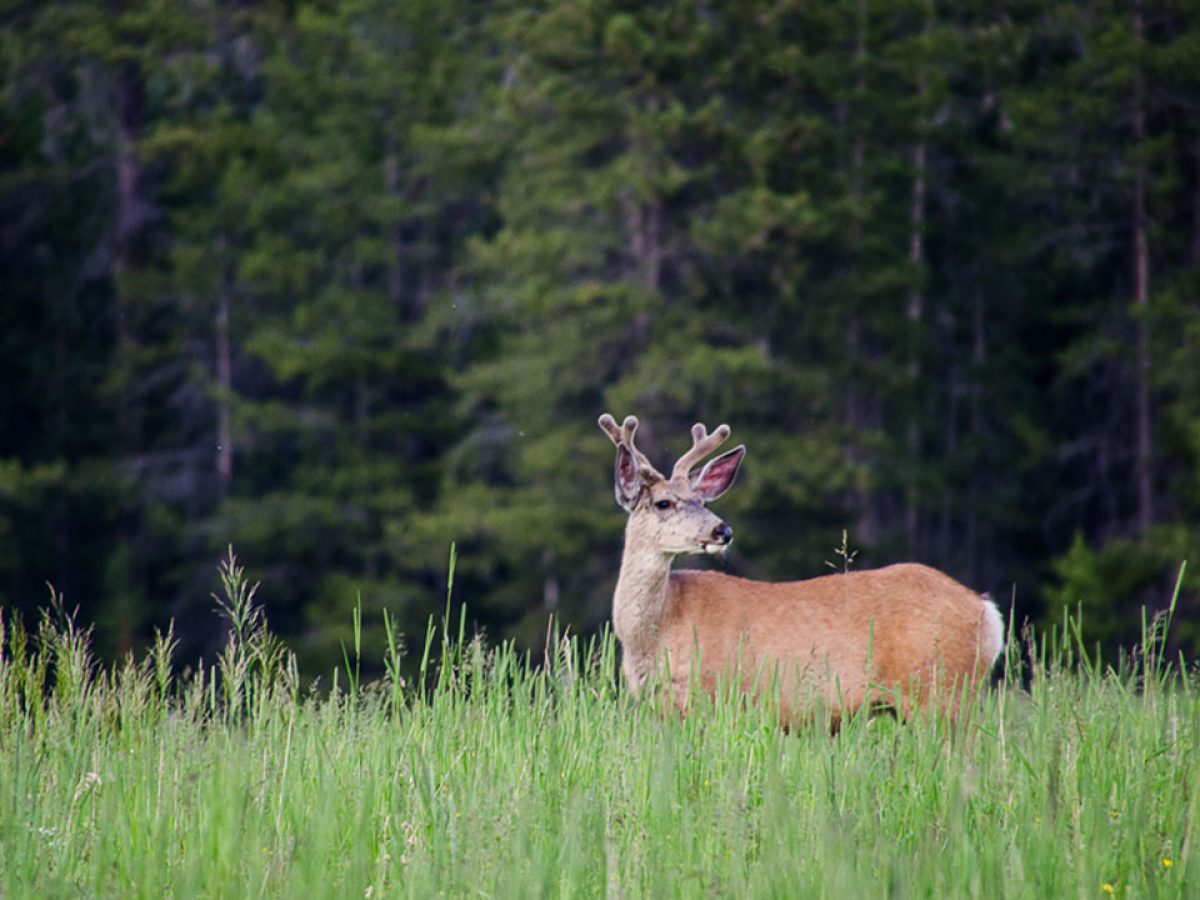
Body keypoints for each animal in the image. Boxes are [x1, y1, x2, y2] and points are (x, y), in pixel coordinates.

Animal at [597, 412, 1003, 729]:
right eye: (664, 503)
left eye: (702, 501)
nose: (722, 531)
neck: (657, 627)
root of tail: (986, 610)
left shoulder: (710, 694)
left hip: (940, 689)